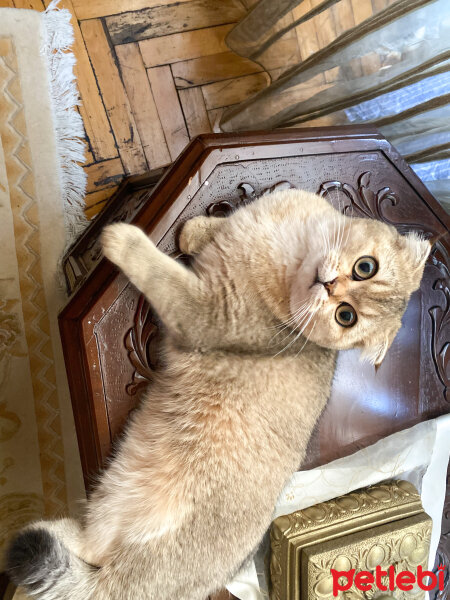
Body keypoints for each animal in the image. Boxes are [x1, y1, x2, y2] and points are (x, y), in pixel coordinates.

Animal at [5, 189, 430, 600]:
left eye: (346, 317)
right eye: (366, 267)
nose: (330, 287)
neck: (292, 252)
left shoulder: (204, 312)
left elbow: (164, 274)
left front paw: (122, 238)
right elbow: (211, 230)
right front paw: (194, 230)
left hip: (120, 514)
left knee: (89, 554)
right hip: (114, 493)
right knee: (89, 549)